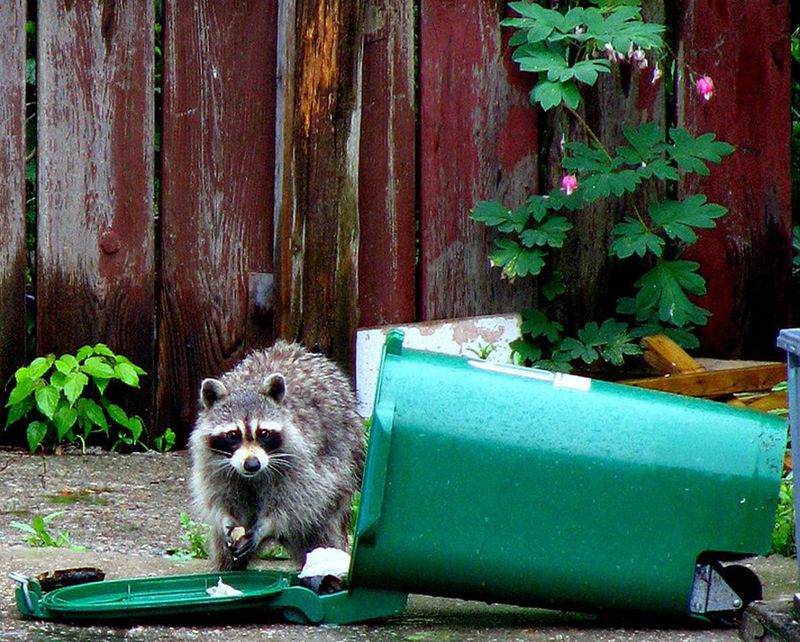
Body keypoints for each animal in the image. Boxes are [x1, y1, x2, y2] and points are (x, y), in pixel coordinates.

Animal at [189, 340, 364, 568]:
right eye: (233, 435)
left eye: (263, 433)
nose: (252, 464)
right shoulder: (211, 462)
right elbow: (219, 497)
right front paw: (227, 517)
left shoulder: (303, 461)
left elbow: (297, 501)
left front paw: (266, 525)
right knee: (223, 550)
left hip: (344, 463)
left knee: (321, 530)